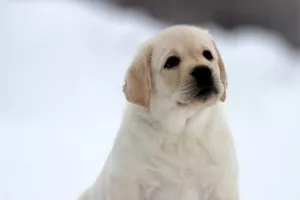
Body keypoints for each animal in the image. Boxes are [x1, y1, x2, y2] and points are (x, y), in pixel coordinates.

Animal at [79, 25, 239, 200]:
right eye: (171, 61)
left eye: (208, 55)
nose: (203, 71)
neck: (182, 132)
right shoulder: (128, 181)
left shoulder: (220, 184)